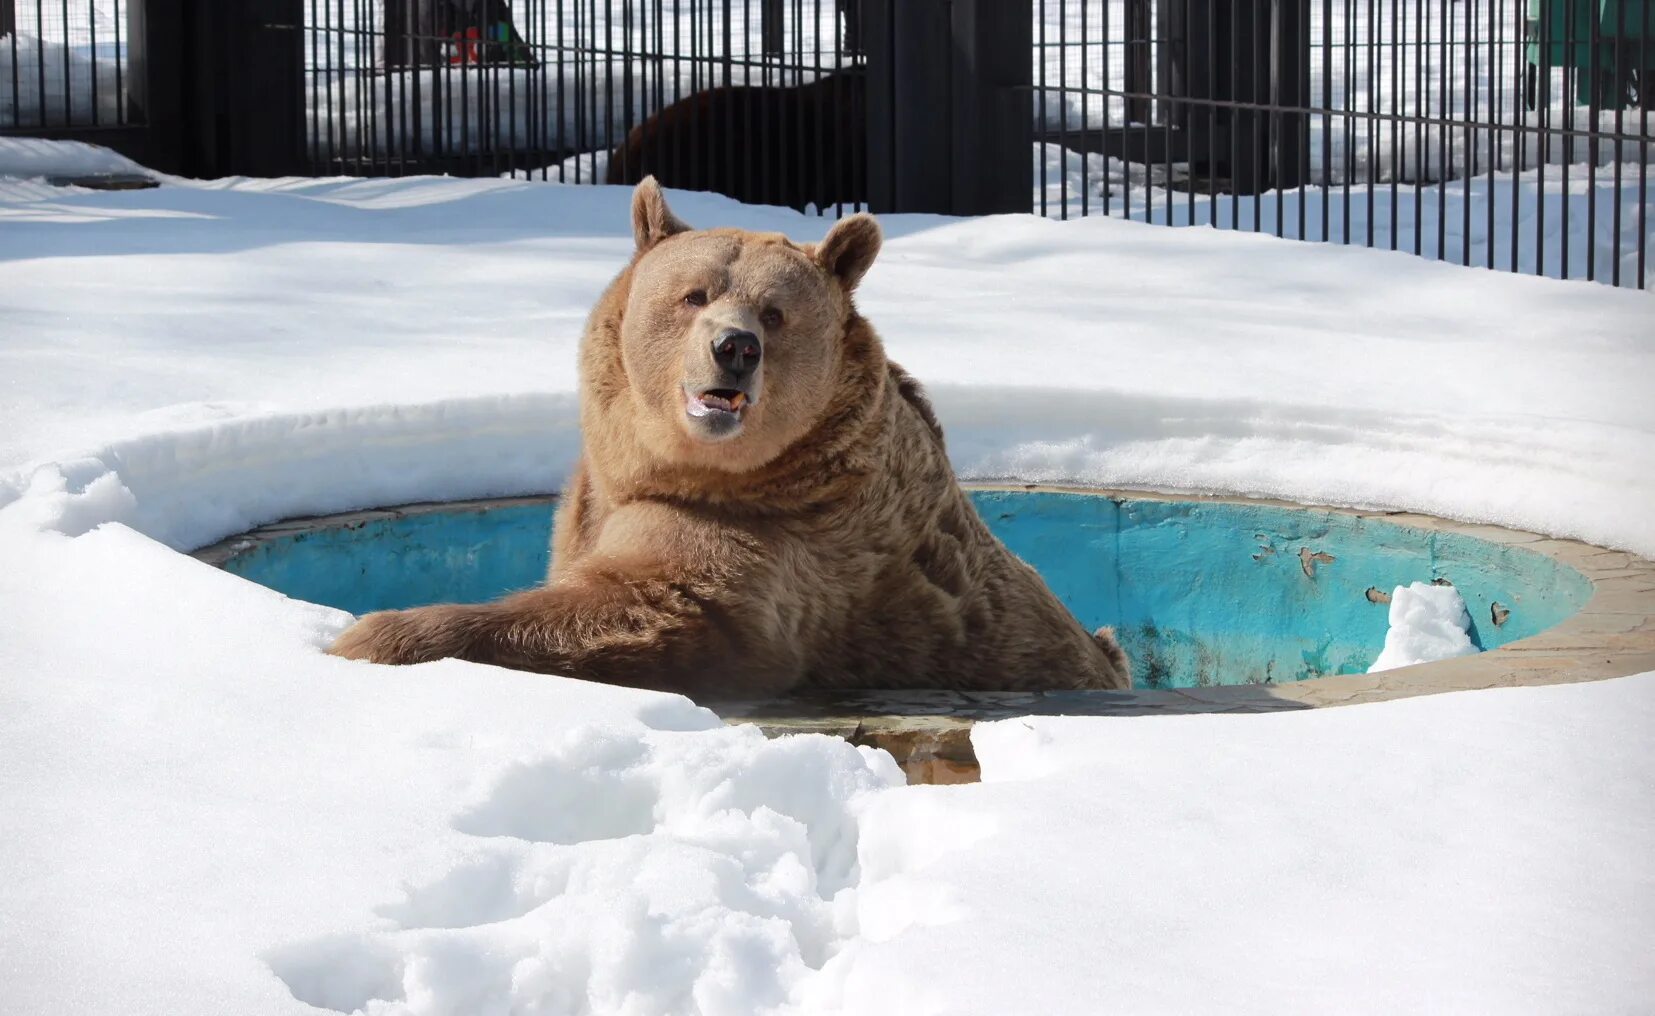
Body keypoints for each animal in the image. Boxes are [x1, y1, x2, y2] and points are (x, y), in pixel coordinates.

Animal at [326, 179, 1125, 698]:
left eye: (774, 312)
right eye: (693, 294)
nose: (734, 348)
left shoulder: (779, 540)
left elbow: (643, 608)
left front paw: (374, 634)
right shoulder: (597, 502)